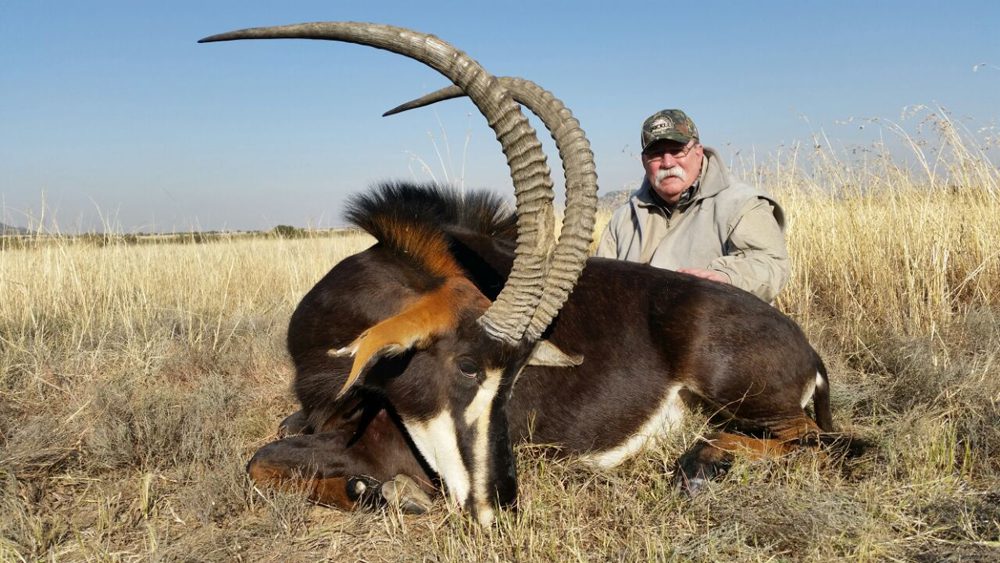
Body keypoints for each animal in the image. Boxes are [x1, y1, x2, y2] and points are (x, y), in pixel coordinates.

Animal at [200, 22, 835, 526]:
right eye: (467, 367)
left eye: (514, 381)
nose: (499, 504)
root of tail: (807, 349)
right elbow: (276, 443)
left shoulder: (388, 449)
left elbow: (262, 459)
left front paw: (385, 493)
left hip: (751, 400)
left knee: (829, 441)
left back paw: (706, 461)